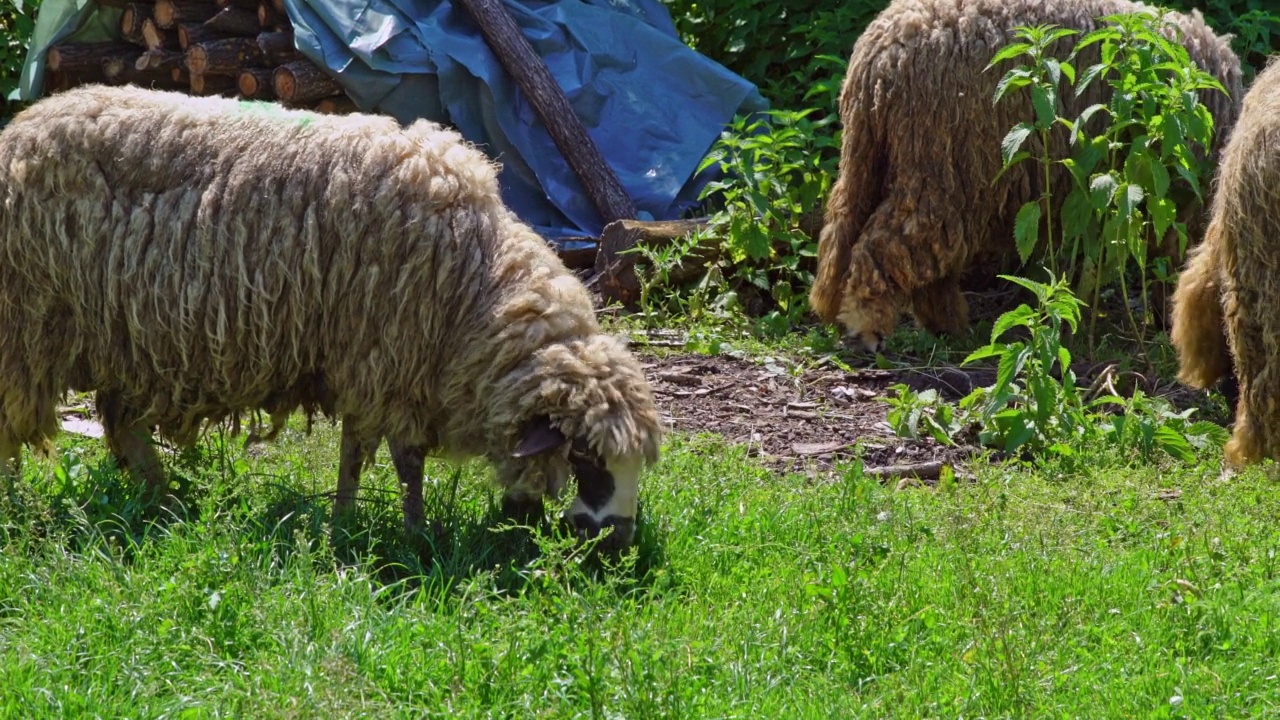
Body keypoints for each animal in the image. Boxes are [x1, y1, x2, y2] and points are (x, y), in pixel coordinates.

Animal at [0, 82, 660, 548]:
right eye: (585, 459)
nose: (617, 543)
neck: (475, 284)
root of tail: (19, 129)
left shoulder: (373, 364)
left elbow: (360, 451)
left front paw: (352, 520)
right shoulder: (384, 358)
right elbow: (399, 459)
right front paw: (406, 533)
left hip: (122, 338)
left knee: (124, 426)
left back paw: (164, 501)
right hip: (26, 323)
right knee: (13, 422)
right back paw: (19, 510)